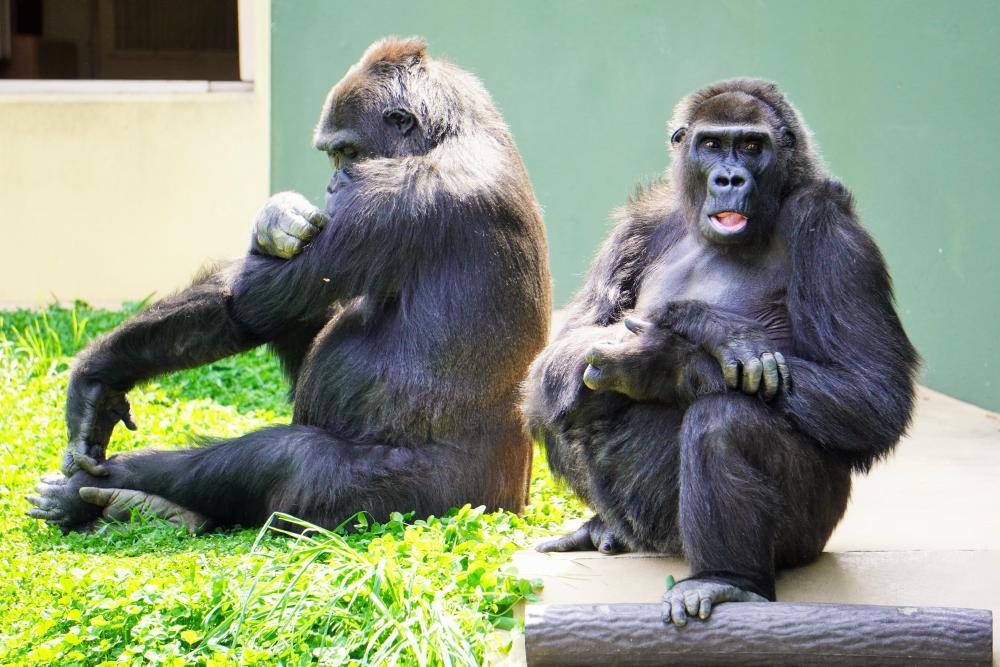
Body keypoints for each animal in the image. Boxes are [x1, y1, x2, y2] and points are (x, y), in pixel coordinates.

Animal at [27, 36, 552, 536]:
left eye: (347, 152)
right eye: (333, 155)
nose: (334, 186)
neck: (451, 134)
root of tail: (516, 504)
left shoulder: (396, 195)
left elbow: (250, 301)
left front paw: (92, 377)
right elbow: (251, 304)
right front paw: (277, 217)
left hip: (438, 502)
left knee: (286, 460)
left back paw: (108, 487)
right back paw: (156, 509)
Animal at [528, 78, 916, 628]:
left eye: (752, 146)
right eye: (711, 143)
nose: (729, 178)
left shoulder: (828, 228)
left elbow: (872, 391)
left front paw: (672, 355)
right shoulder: (640, 221)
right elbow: (564, 348)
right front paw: (692, 336)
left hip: (810, 538)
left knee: (724, 421)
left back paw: (727, 578)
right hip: (647, 532)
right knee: (557, 400)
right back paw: (602, 526)